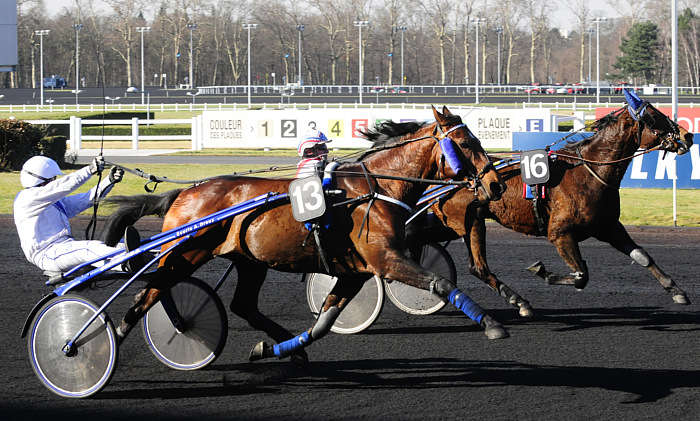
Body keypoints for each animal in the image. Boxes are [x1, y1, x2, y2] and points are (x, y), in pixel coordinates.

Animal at [101, 106, 508, 365]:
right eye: (467, 143)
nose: (495, 184)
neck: (376, 187)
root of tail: (184, 192)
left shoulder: (354, 272)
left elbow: (324, 322)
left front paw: (273, 349)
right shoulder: (386, 260)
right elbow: (441, 282)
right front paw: (492, 325)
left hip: (249, 261)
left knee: (242, 305)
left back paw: (285, 347)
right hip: (183, 253)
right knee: (148, 293)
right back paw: (110, 339)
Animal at [408, 93, 694, 317]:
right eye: (654, 117)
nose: (688, 135)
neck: (588, 172)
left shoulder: (608, 226)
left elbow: (642, 256)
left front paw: (677, 291)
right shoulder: (560, 233)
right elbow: (581, 275)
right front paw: (541, 270)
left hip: (461, 222)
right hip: (470, 221)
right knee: (476, 266)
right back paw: (519, 301)